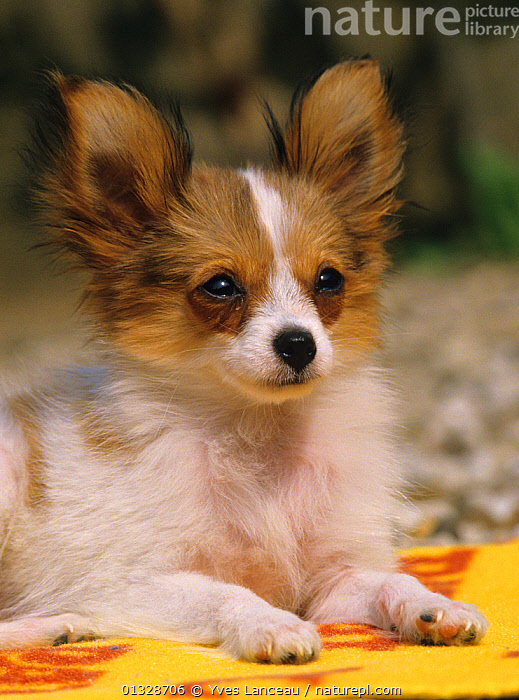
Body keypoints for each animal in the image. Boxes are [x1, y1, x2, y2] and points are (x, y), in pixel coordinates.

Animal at [0, 58, 488, 660]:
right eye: (221, 286)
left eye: (329, 280)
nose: (299, 344)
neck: (258, 431)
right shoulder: (133, 582)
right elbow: (228, 592)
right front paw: (271, 624)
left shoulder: (332, 581)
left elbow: (393, 580)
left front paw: (436, 607)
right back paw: (52, 628)